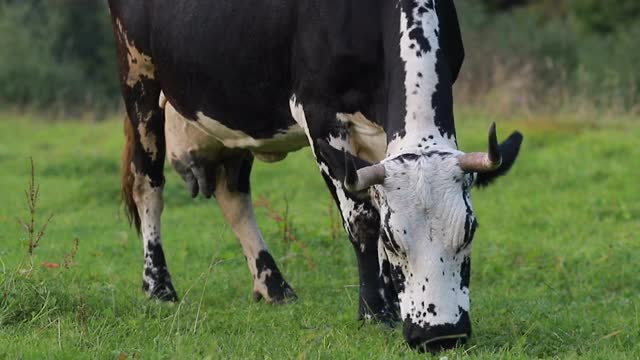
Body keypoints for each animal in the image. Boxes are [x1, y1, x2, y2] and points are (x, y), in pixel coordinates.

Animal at [107, 0, 524, 350]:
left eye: (470, 230)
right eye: (393, 241)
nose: (439, 336)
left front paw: (389, 301)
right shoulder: (319, 114)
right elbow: (363, 220)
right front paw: (374, 312)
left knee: (233, 196)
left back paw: (273, 287)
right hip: (139, 80)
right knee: (148, 186)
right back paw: (159, 287)